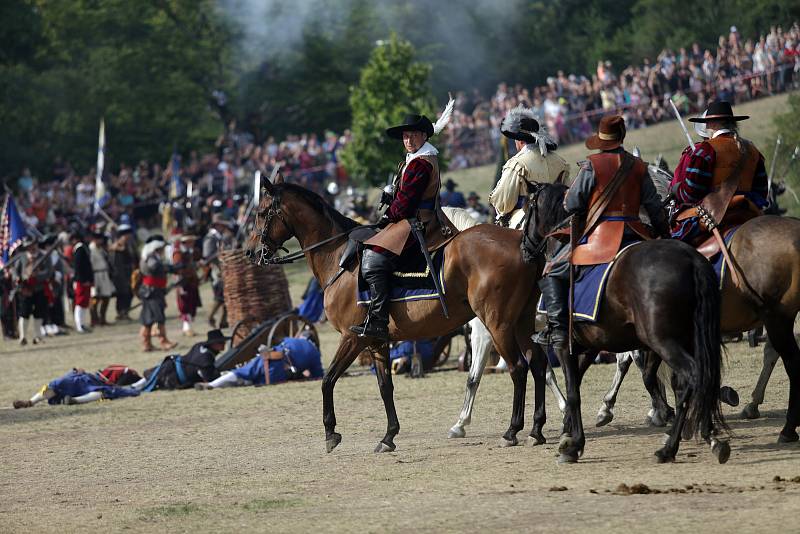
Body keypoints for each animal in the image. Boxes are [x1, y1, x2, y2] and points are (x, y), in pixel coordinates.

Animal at [520, 183, 728, 464]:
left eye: (527, 210)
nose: (524, 248)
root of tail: (692, 259)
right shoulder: (590, 345)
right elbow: (579, 383)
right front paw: (568, 431)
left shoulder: (564, 346)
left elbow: (574, 392)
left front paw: (573, 445)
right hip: (687, 338)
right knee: (696, 379)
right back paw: (705, 437)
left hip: (663, 341)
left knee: (692, 376)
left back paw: (671, 446)